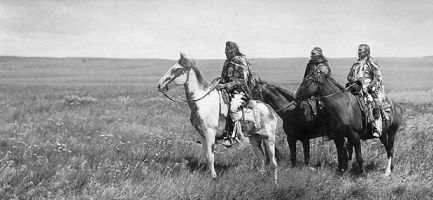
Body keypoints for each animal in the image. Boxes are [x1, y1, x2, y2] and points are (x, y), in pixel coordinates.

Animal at [157, 53, 278, 184]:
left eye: (176, 69)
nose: (159, 85)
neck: (203, 102)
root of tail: (270, 109)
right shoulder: (202, 135)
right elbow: (206, 155)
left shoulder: (210, 133)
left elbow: (211, 156)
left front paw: (214, 177)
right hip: (254, 138)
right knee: (261, 159)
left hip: (269, 138)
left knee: (273, 162)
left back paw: (275, 183)